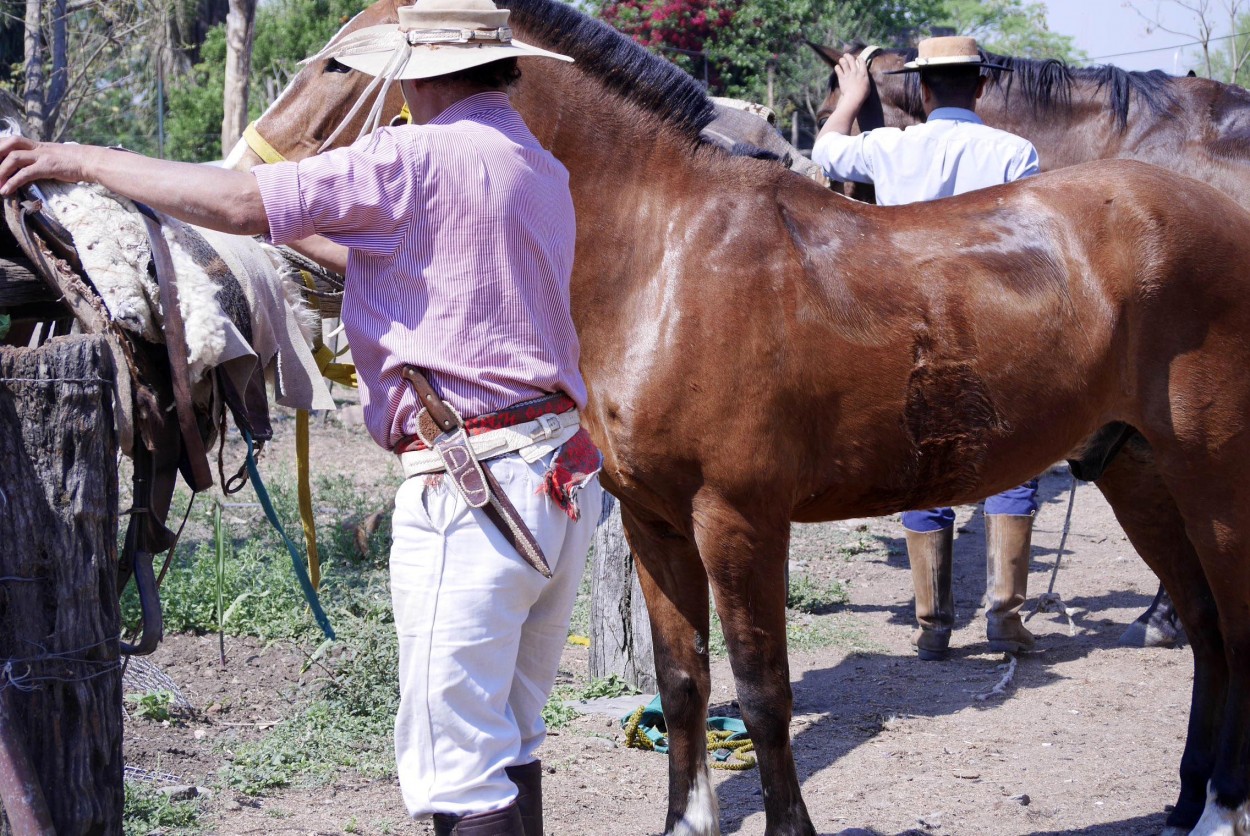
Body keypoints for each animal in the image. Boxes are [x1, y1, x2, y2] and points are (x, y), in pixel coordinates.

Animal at [230, 3, 1250, 829]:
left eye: (337, 65)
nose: (239, 180)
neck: (664, 256)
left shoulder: (740, 519)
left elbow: (763, 695)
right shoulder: (652, 521)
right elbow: (685, 685)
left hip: (1213, 481)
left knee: (1234, 625)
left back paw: (1218, 809)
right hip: (1135, 470)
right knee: (1204, 629)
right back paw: (1188, 801)